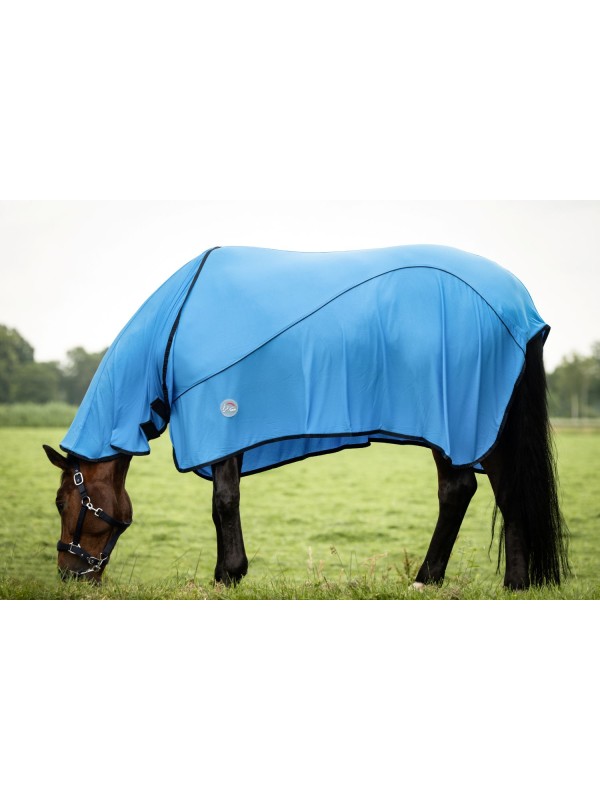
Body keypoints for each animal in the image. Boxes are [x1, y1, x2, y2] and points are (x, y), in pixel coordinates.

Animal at [44, 244, 570, 589]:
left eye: (60, 501)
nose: (70, 576)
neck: (172, 329)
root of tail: (521, 306)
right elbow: (226, 500)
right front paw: (230, 571)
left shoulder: (222, 418)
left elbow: (223, 502)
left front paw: (227, 575)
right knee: (476, 491)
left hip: (469, 423)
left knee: (490, 491)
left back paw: (485, 582)